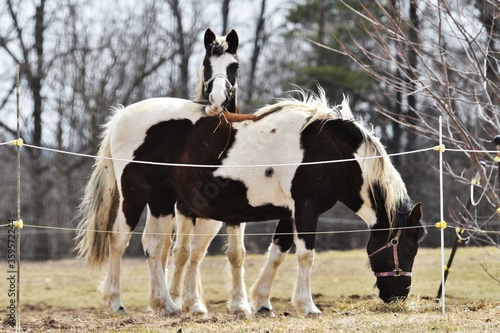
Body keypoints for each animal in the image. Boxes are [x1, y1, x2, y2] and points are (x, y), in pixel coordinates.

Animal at [75, 87, 426, 316]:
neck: (328, 151)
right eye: (408, 246)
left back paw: (167, 304)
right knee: (119, 241)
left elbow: (278, 253)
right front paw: (307, 305)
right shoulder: (306, 208)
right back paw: (115, 301)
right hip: (136, 195)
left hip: (163, 200)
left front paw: (261, 301)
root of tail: (122, 116)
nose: (399, 295)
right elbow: (305, 256)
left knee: (154, 246)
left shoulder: (289, 213)